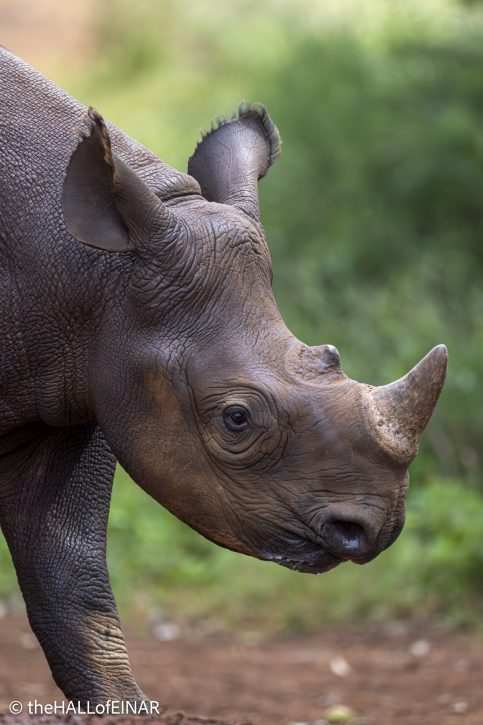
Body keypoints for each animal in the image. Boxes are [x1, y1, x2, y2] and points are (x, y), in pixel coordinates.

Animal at [0, 46, 447, 705]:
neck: (91, 270)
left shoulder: (82, 371)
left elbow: (69, 573)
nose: (376, 527)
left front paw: (122, 704)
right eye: (236, 419)